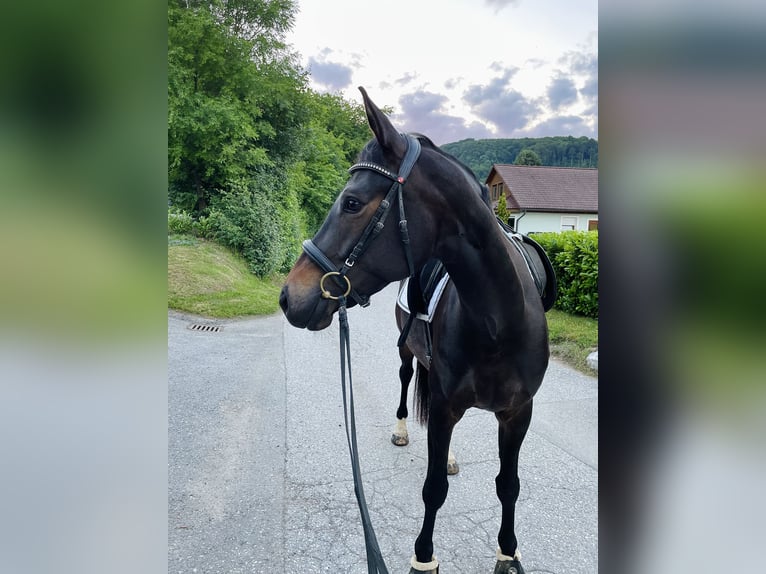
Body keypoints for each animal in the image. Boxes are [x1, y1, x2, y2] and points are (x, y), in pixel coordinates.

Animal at [280, 88, 548, 572]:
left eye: (352, 202)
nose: (291, 296)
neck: (499, 322)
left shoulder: (518, 413)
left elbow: (508, 484)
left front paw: (508, 550)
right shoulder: (442, 405)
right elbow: (433, 488)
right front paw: (423, 558)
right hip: (409, 354)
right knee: (407, 380)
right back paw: (404, 430)